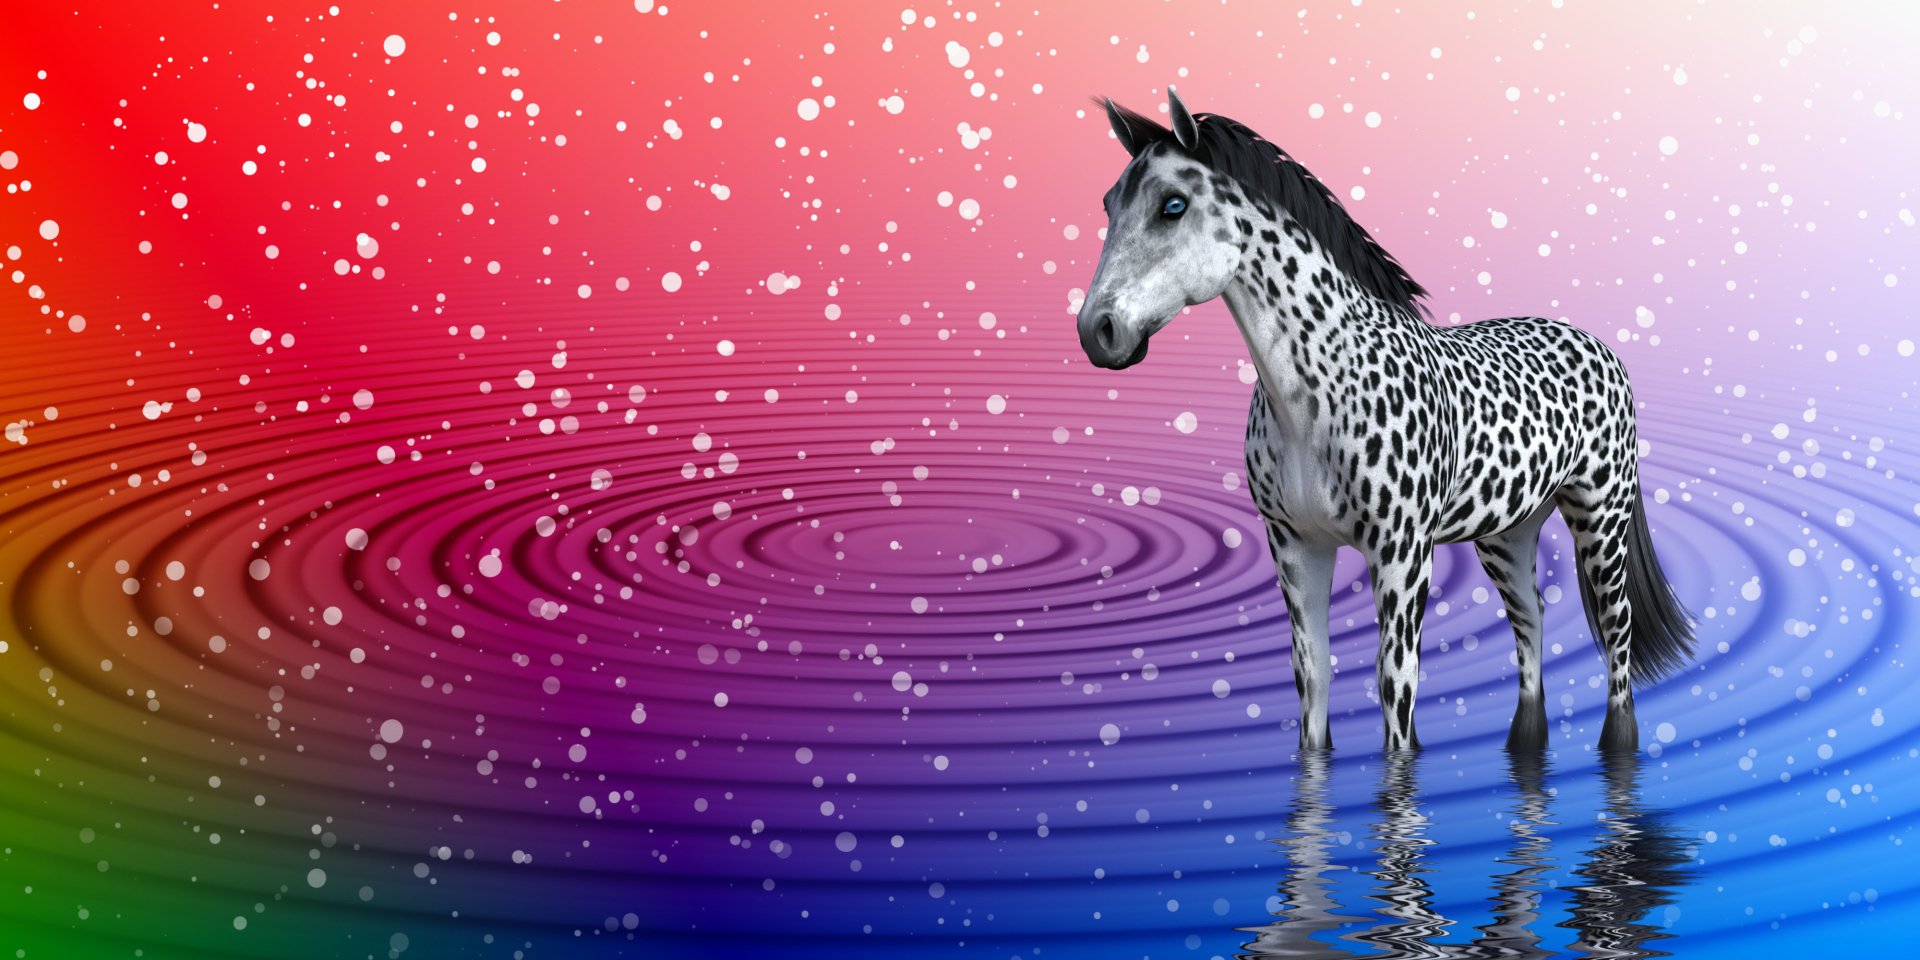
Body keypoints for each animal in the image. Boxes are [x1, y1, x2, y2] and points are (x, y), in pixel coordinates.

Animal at [1076, 87, 1693, 753]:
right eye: (1108, 204)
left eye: (1173, 206)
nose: (1097, 332)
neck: (1310, 401)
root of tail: (1596, 344)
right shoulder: (1294, 546)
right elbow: (1312, 676)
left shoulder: (1401, 553)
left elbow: (1395, 687)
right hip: (1507, 532)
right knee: (1532, 619)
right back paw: (1524, 748)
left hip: (1600, 517)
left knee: (1616, 630)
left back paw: (1618, 747)